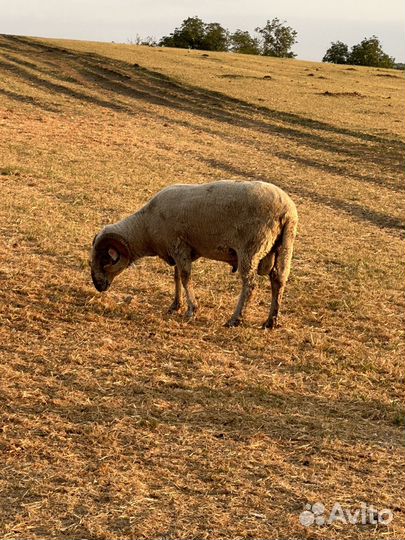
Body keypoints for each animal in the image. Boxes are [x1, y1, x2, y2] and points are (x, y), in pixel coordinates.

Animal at [91, 180, 296, 330]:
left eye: (105, 259)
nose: (98, 285)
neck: (145, 227)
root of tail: (287, 212)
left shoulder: (179, 246)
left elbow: (185, 277)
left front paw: (191, 310)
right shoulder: (179, 251)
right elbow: (176, 278)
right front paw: (175, 305)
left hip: (250, 249)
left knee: (250, 285)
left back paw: (235, 320)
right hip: (283, 247)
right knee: (278, 280)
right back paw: (270, 321)